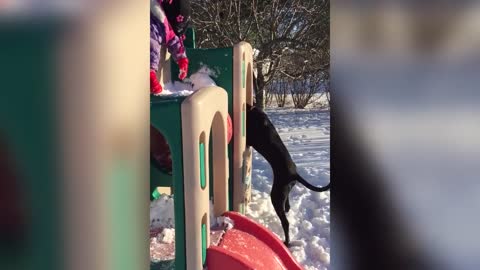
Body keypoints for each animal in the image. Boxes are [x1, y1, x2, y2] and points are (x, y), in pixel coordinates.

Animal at [248, 104, 330, 246]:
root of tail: (295, 174)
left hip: (276, 195)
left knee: (285, 222)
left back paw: (286, 242)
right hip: (283, 193)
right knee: (288, 207)